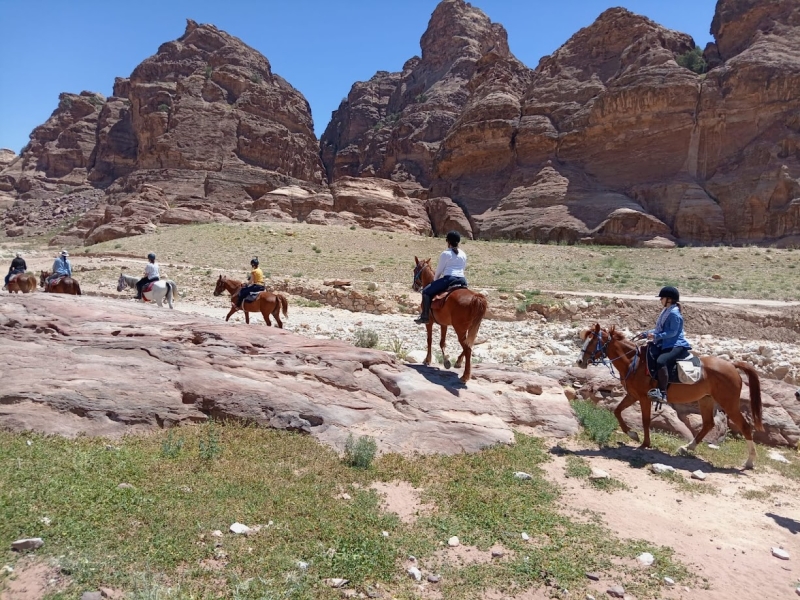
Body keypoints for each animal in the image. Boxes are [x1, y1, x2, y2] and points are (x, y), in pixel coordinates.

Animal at [576, 324, 764, 468]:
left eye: (594, 341)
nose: (580, 362)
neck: (634, 363)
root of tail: (732, 365)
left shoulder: (644, 398)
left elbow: (645, 420)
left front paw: (644, 443)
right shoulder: (633, 395)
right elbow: (617, 411)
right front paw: (632, 434)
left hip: (729, 403)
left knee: (744, 426)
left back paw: (749, 462)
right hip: (706, 400)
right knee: (708, 424)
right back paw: (687, 448)